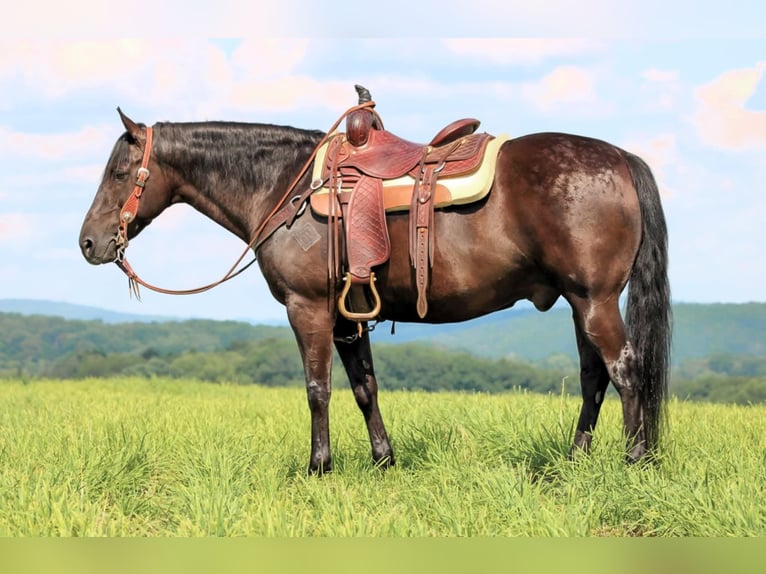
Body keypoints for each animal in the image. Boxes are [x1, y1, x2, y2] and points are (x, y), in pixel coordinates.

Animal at [79, 105, 671, 474]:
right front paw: (384, 461)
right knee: (594, 377)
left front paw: (318, 468)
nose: (89, 243)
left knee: (625, 370)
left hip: (594, 300)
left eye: (118, 172)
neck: (285, 185)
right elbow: (365, 387)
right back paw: (575, 461)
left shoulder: (309, 310)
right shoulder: (349, 316)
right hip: (578, 303)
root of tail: (621, 158)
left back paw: (634, 462)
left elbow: (318, 389)